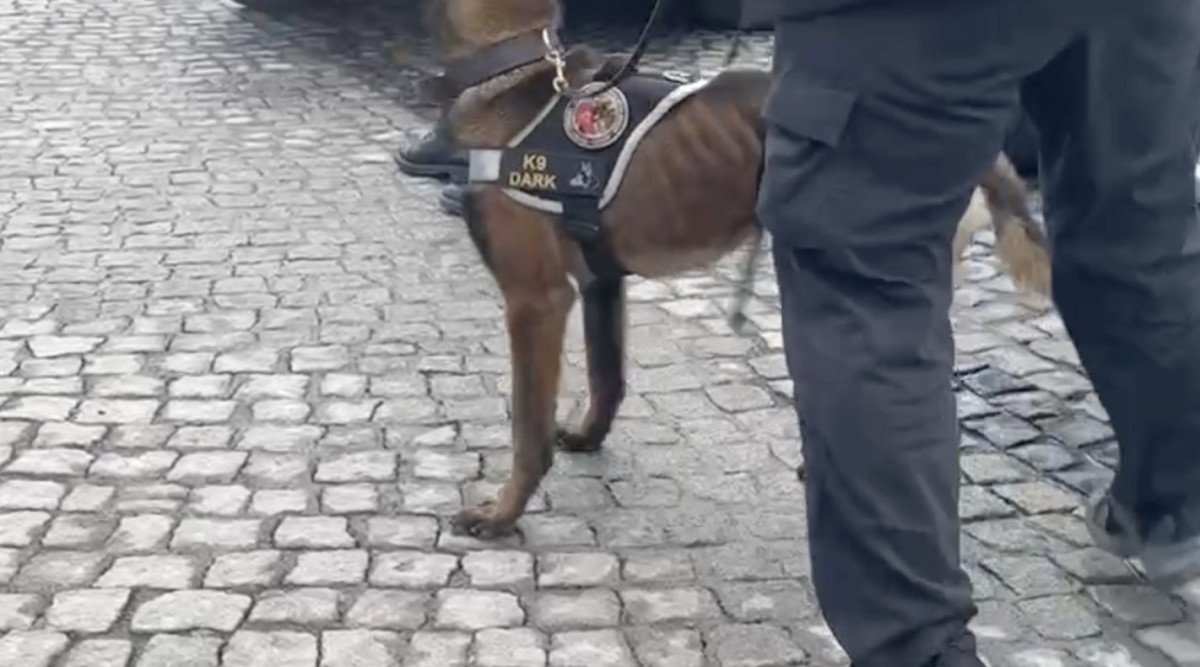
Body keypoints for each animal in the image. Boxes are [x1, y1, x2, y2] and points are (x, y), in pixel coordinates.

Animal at [423, 0, 1052, 538]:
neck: (520, 69)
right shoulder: (601, 282)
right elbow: (607, 378)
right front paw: (587, 437)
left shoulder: (536, 299)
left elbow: (527, 428)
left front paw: (503, 513)